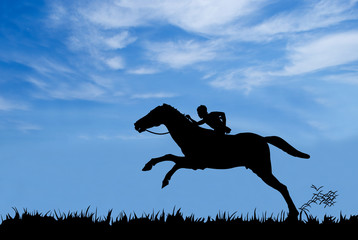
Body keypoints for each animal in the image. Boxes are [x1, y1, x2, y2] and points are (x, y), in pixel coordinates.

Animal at [134, 103, 308, 219]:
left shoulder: (197, 163)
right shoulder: (192, 161)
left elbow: (174, 161)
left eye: (153, 113)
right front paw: (150, 166)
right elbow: (170, 157)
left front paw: (164, 179)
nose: (136, 124)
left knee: (282, 187)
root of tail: (263, 139)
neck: (191, 135)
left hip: (262, 169)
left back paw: (293, 214)